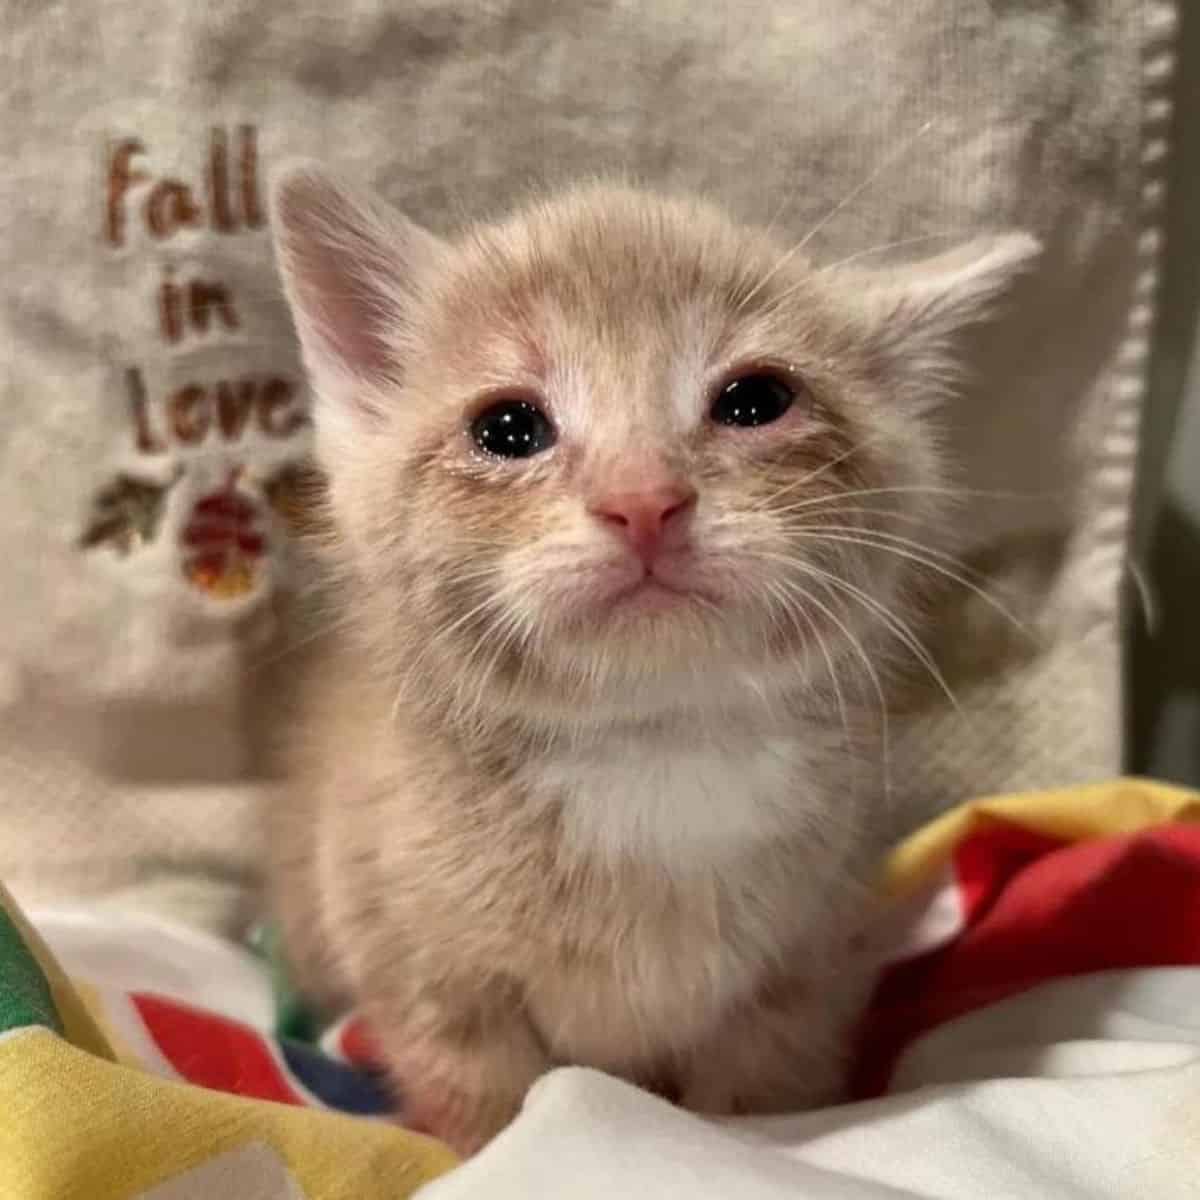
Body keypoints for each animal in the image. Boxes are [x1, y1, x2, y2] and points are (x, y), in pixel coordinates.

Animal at [267, 169, 1036, 1152]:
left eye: (756, 401)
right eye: (507, 427)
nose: (643, 500)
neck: (655, 747)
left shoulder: (810, 962)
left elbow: (759, 1088)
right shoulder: (413, 955)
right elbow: (479, 1090)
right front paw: (489, 1153)